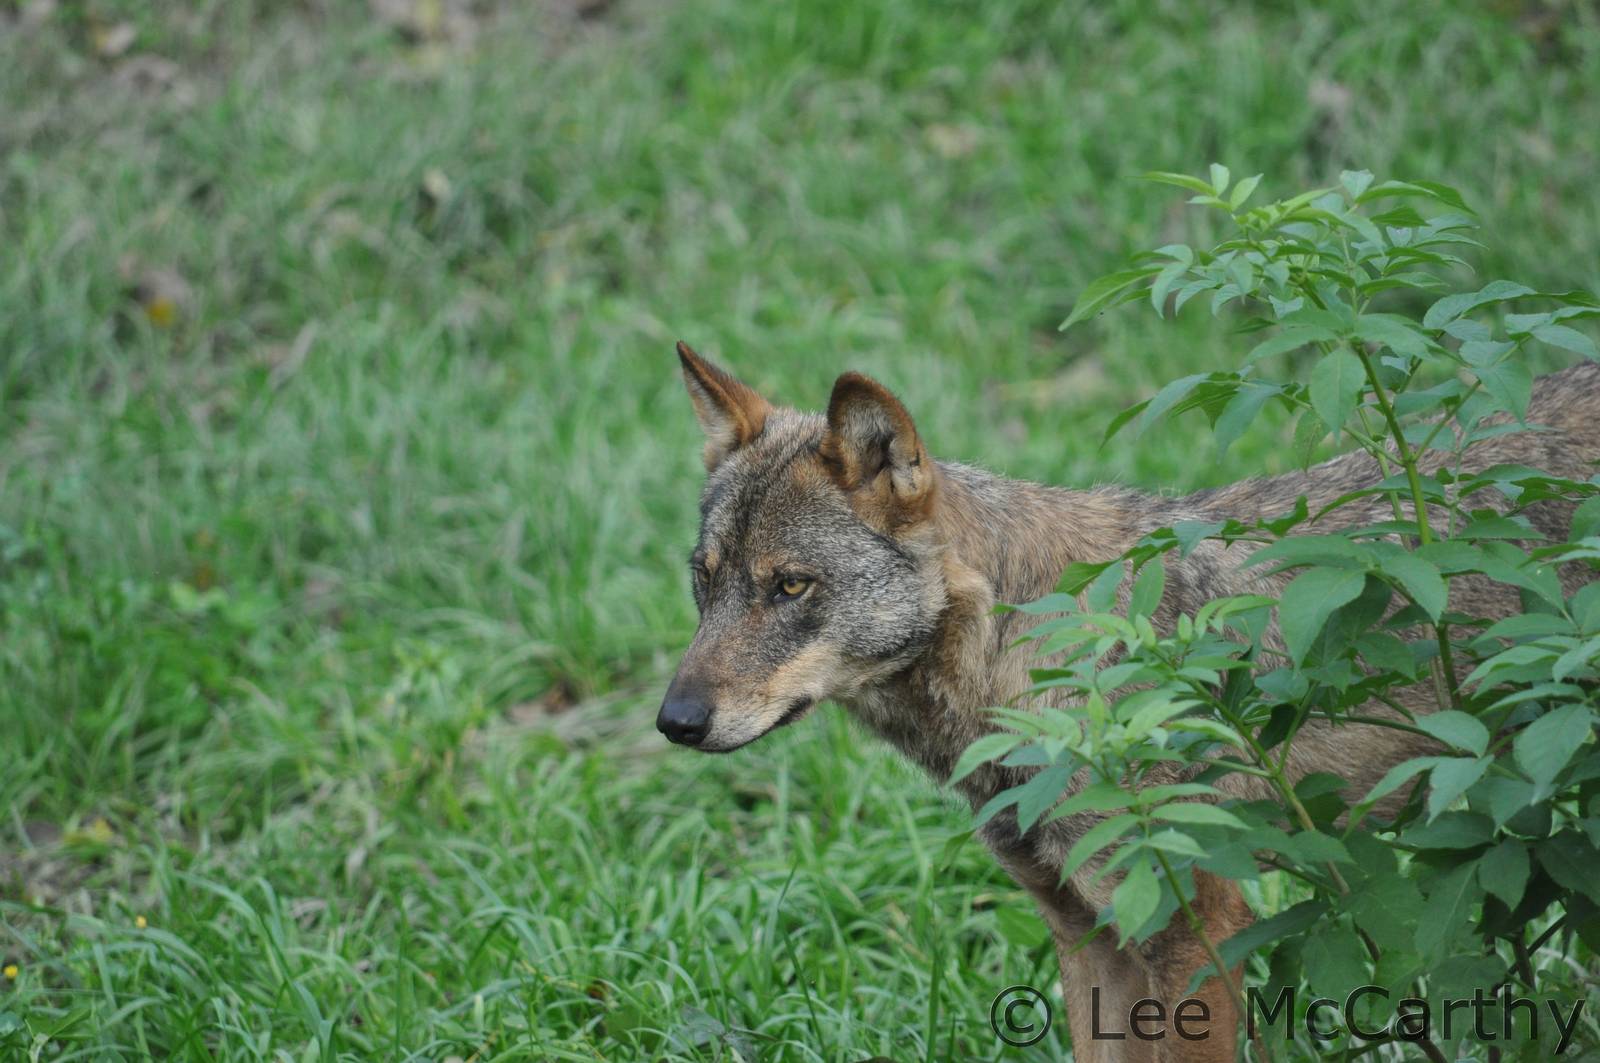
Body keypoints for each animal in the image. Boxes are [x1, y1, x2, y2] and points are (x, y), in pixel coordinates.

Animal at [658, 341, 1600, 1062]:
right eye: (704, 579)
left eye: (790, 586)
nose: (675, 722)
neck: (1024, 672)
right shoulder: (1088, 936)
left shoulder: (1200, 931)